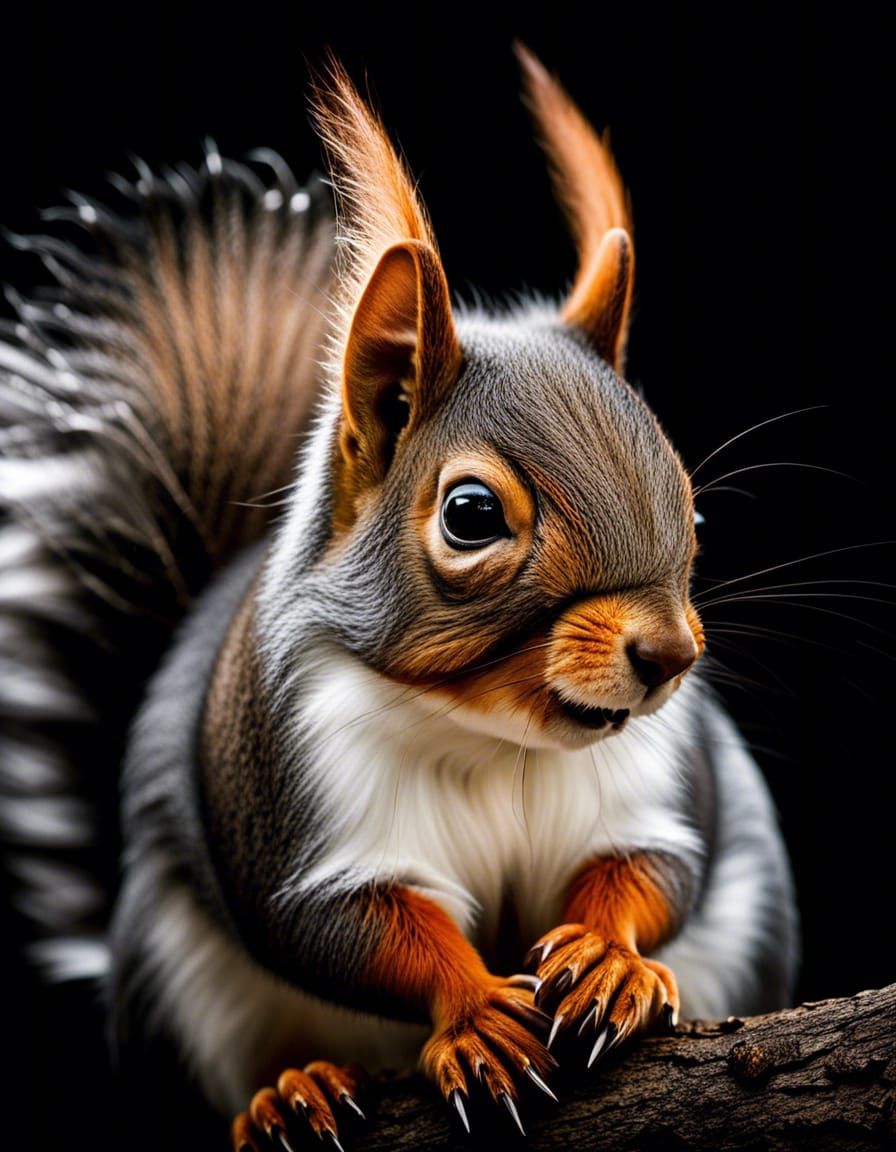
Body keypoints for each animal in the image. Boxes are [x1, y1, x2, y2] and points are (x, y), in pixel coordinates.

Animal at [0, 46, 798, 1149]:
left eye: (694, 511)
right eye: (469, 514)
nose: (669, 658)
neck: (497, 740)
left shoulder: (658, 788)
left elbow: (647, 873)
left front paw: (606, 958)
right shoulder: (295, 799)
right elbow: (356, 930)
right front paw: (472, 1014)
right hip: (173, 976)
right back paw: (288, 1094)